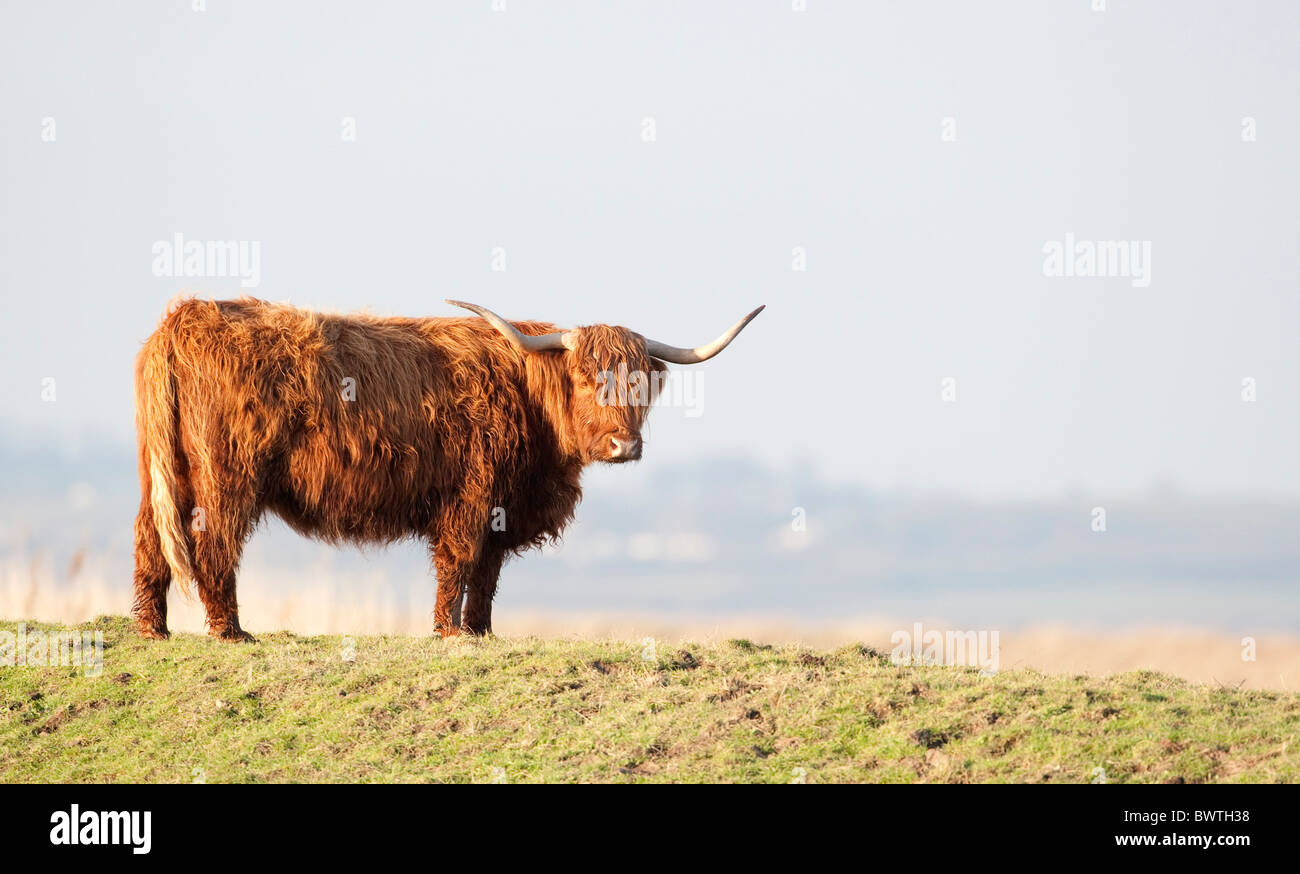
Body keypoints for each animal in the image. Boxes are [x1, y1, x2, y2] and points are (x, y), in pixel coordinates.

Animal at [129, 300, 759, 642]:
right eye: (584, 378)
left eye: (639, 384)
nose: (623, 444)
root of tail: (184, 318)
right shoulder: (472, 494)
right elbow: (458, 561)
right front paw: (449, 632)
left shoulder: (505, 506)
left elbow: (487, 574)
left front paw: (481, 631)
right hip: (227, 475)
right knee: (213, 543)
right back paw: (231, 631)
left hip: (166, 472)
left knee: (150, 540)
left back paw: (152, 628)